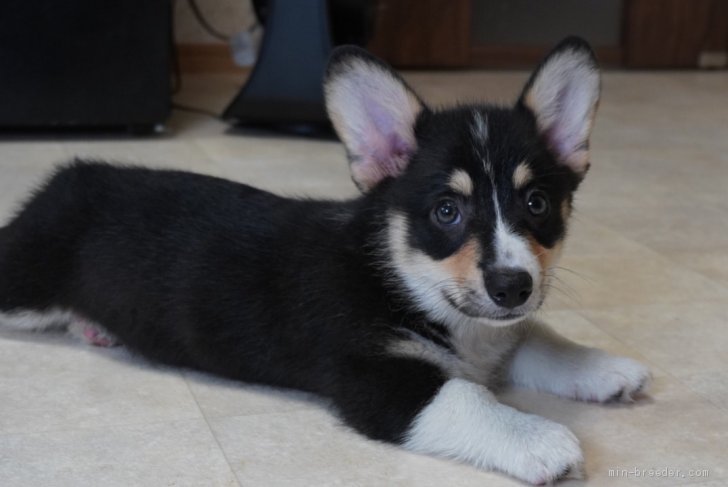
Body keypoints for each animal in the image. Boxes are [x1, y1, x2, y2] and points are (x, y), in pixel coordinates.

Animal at [0, 37, 648, 484]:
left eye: (536, 203)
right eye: (446, 211)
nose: (513, 286)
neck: (403, 281)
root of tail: (68, 176)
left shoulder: (499, 333)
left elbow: (538, 337)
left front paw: (603, 368)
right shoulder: (376, 380)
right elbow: (469, 398)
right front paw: (541, 438)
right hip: (24, 281)